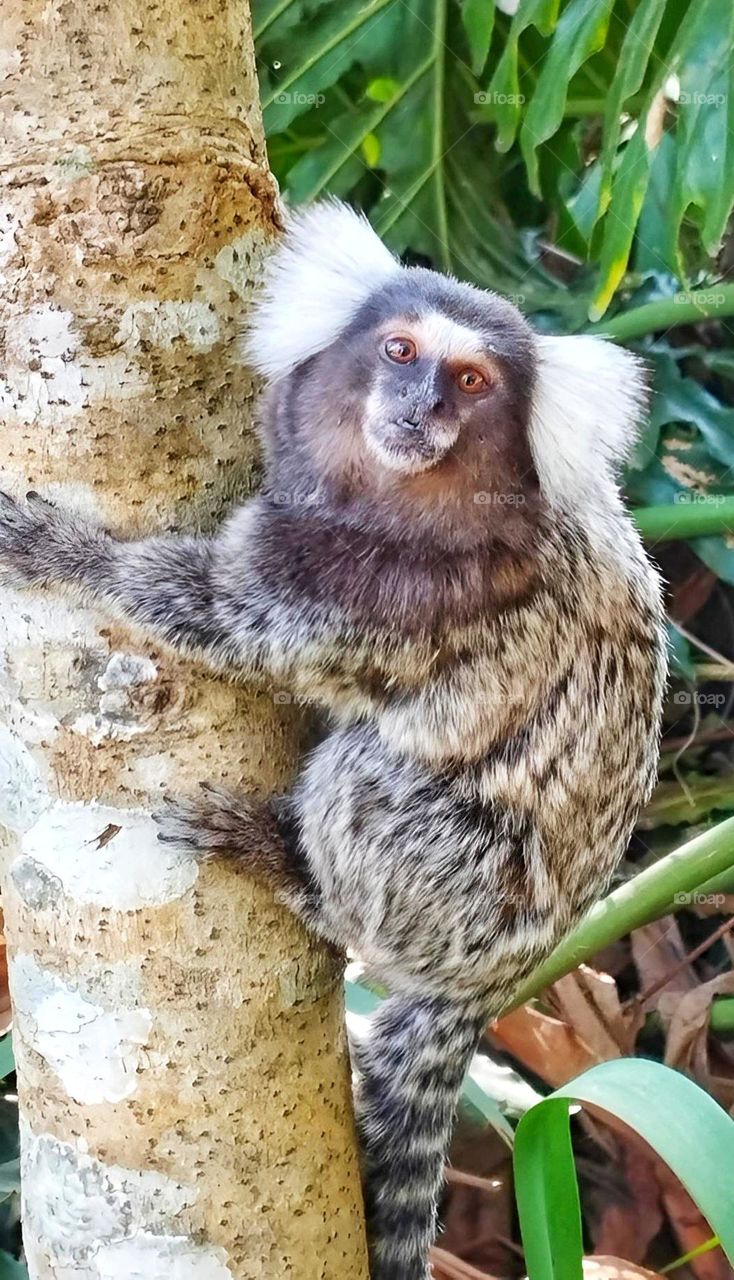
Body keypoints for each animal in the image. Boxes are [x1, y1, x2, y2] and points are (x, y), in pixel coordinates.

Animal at [0, 201, 666, 1280]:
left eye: (470, 382)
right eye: (399, 351)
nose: (419, 407)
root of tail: (493, 980)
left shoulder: (391, 594)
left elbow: (229, 623)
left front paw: (64, 551)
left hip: (459, 897)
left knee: (371, 775)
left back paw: (295, 874)